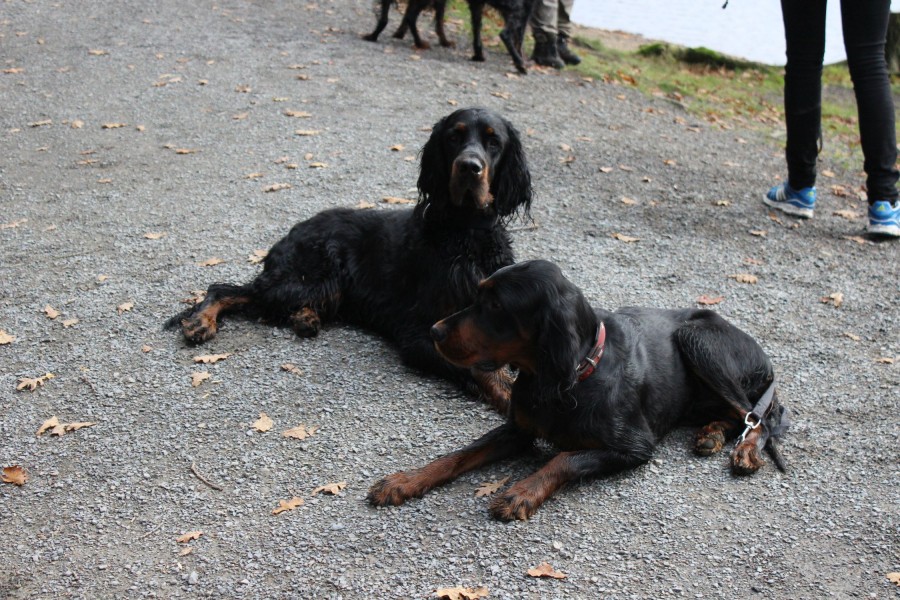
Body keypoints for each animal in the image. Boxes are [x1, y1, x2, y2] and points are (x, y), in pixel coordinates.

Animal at [167, 108, 532, 410]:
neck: (466, 234)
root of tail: (296, 228)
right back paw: (201, 323)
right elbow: (481, 369)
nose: (469, 167)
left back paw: (306, 318)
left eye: (493, 141)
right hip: (313, 276)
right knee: (224, 289)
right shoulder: (419, 333)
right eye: (454, 136)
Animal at [368, 260, 789, 521]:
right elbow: (459, 455)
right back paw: (711, 434)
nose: (434, 331)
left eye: (496, 306)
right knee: (740, 415)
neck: (566, 378)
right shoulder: (517, 430)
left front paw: (521, 492)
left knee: (761, 417)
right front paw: (406, 481)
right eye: (478, 295)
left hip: (697, 339)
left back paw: (745, 451)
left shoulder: (634, 447)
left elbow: (564, 457)